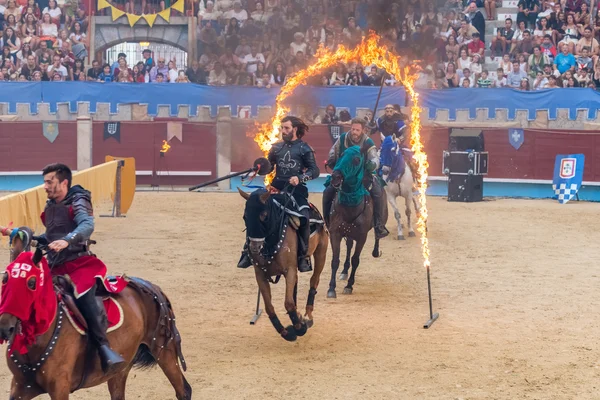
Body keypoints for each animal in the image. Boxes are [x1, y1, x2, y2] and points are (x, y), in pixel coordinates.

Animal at [0, 228, 191, 400]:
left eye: (31, 282)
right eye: (5, 279)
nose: (5, 327)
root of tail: (151, 287)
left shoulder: (59, 387)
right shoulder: (21, 386)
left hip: (164, 351)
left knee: (183, 390)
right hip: (121, 367)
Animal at [237, 187, 328, 340]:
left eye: (264, 216)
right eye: (245, 217)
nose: (254, 249)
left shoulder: (289, 270)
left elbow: (289, 303)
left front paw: (299, 328)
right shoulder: (260, 275)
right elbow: (269, 307)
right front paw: (285, 332)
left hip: (321, 252)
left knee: (314, 280)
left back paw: (307, 315)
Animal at [324, 145, 384, 298]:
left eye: (357, 159)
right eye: (341, 155)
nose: (335, 176)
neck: (349, 207)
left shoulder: (362, 236)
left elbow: (355, 260)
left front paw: (349, 286)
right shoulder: (335, 233)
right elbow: (335, 260)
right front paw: (331, 288)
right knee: (349, 246)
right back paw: (344, 271)